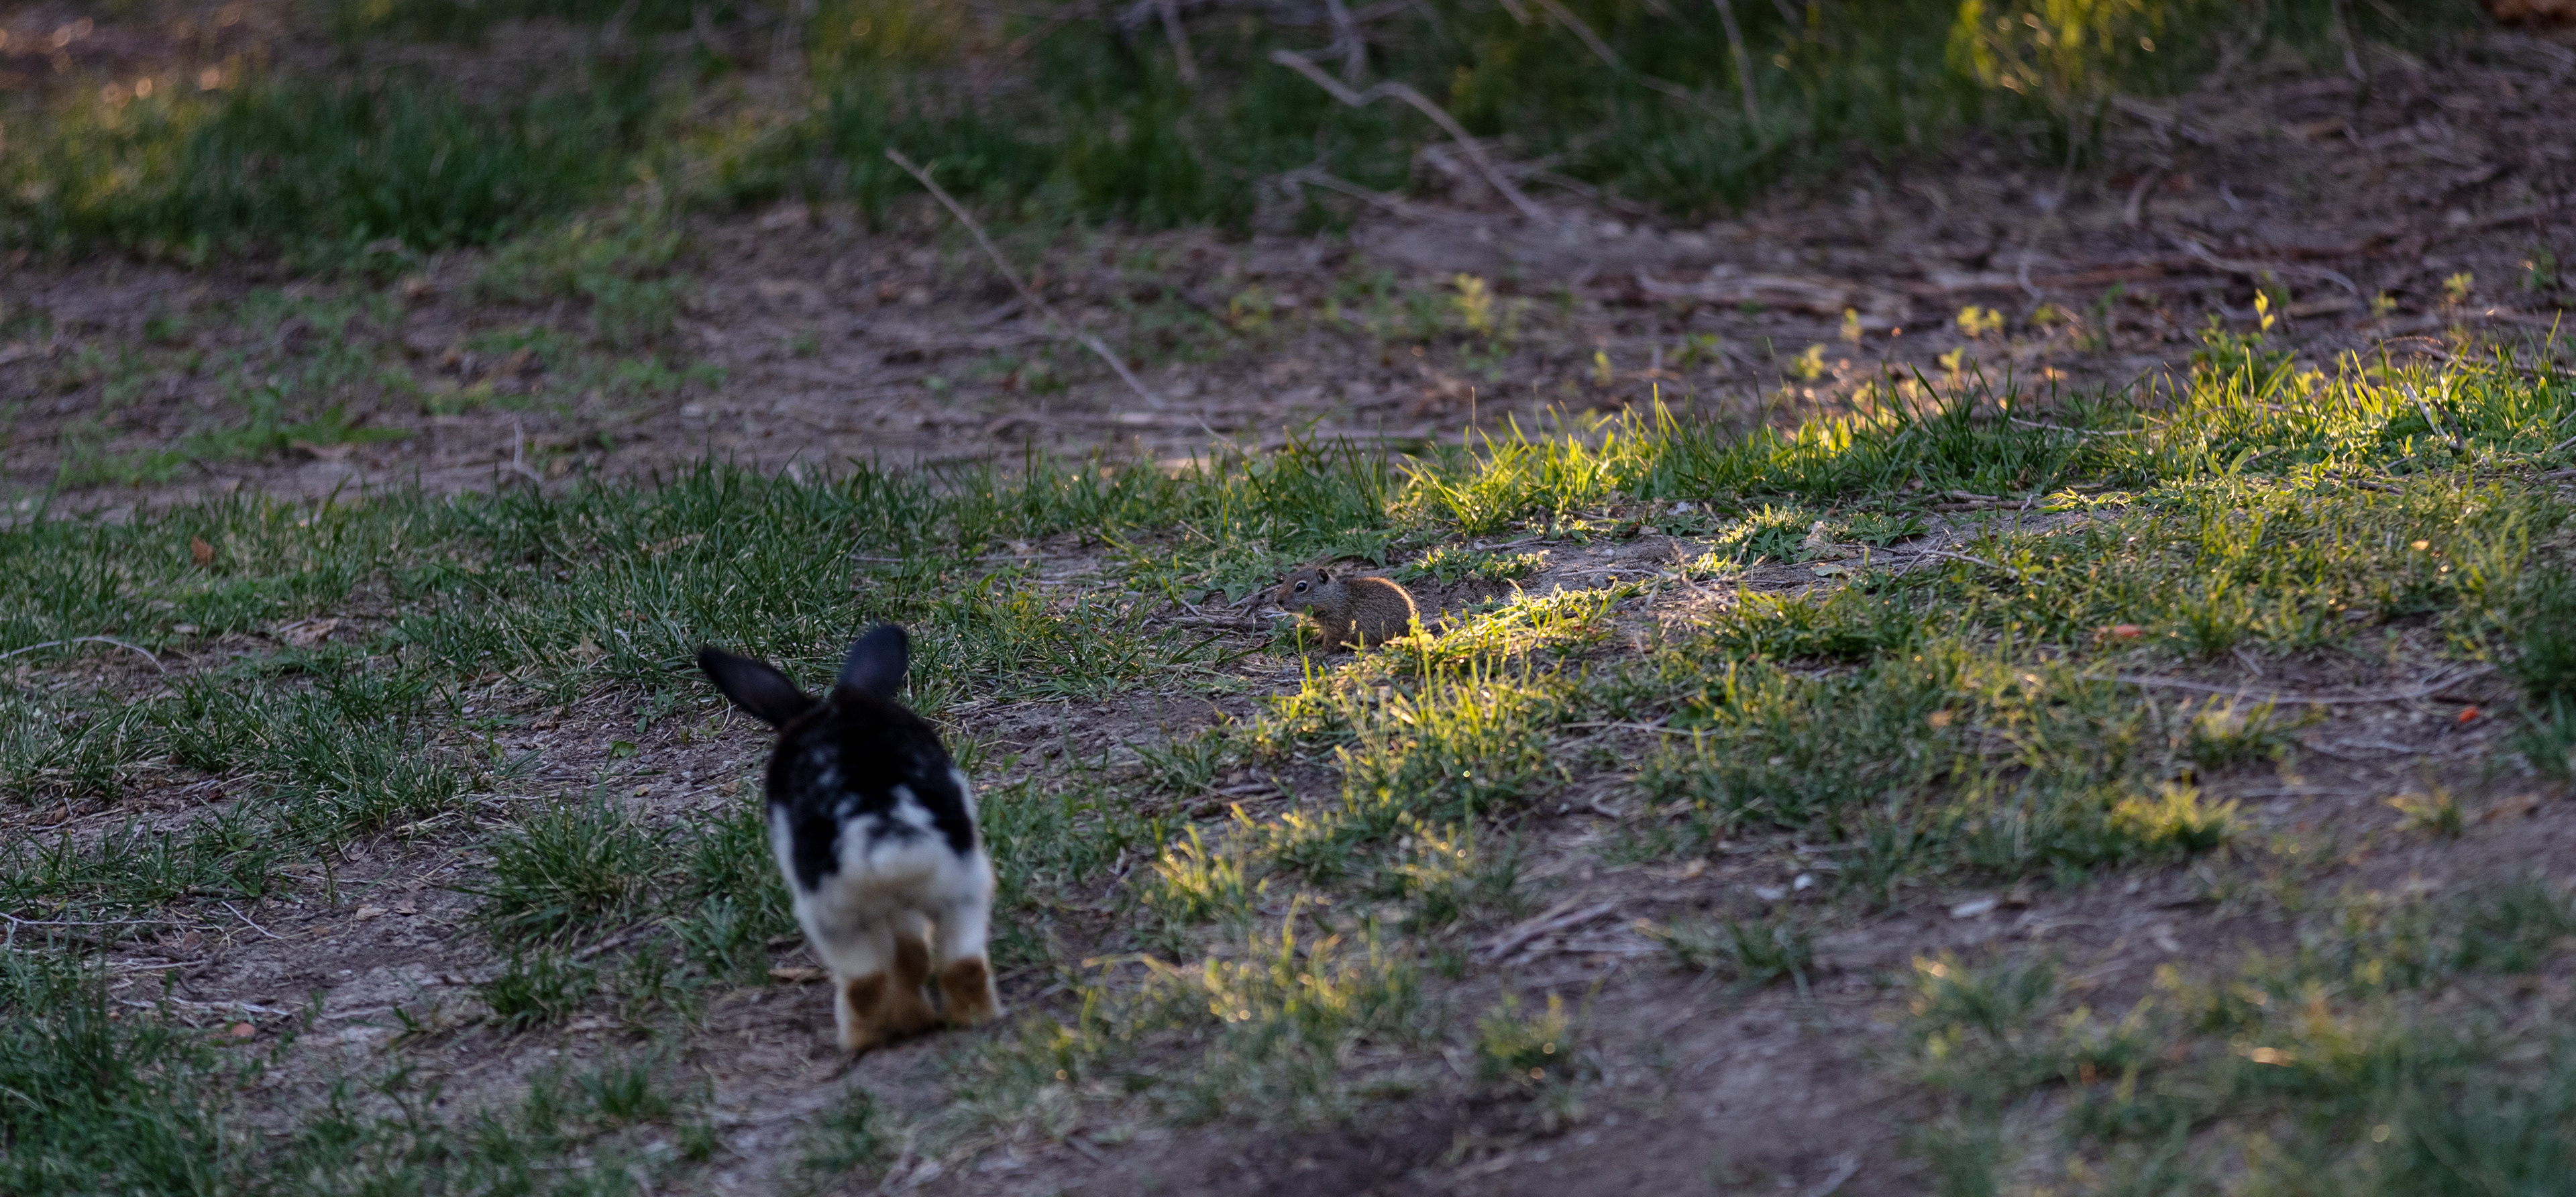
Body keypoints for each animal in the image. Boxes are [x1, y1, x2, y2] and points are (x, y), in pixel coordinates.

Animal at [695, 625, 1000, 1053]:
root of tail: (887, 839)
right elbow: (911, 956)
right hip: (962, 890)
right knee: (960, 965)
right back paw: (962, 1020)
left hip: (833, 918)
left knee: (866, 983)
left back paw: (860, 1041)